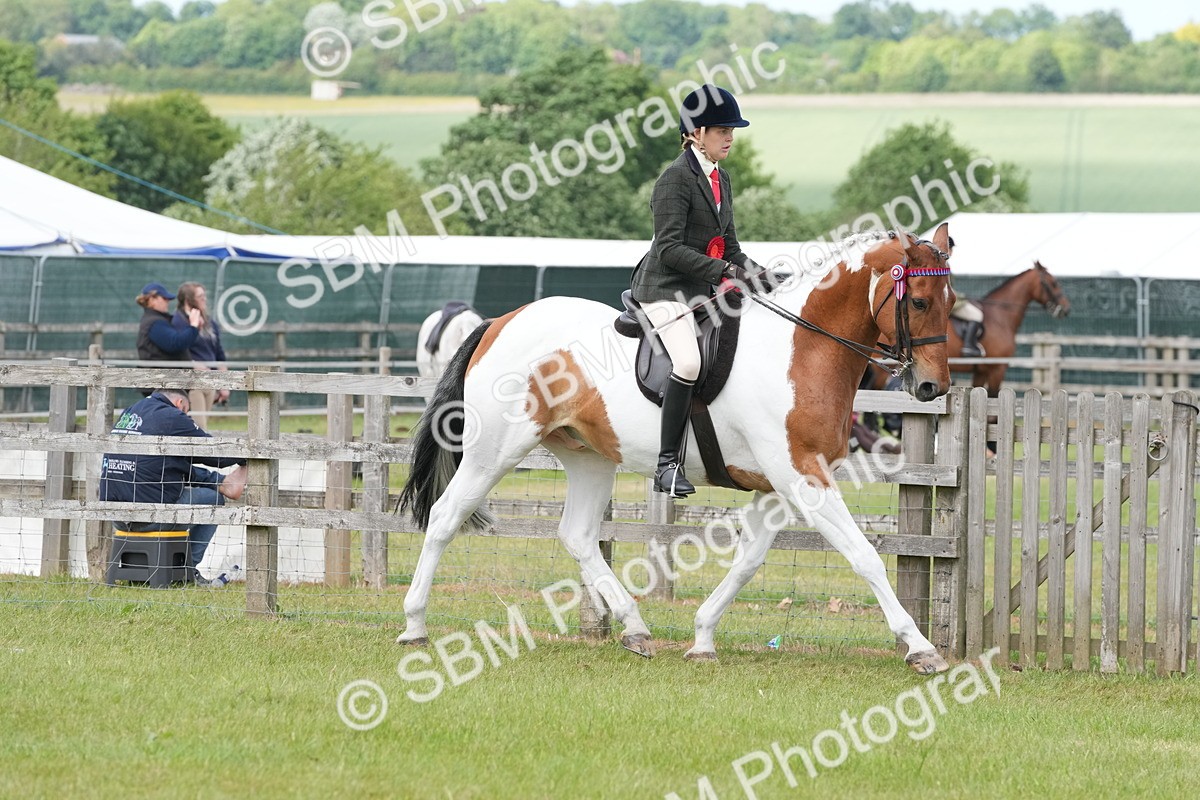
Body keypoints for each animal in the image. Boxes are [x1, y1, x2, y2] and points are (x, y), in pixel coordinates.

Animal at [397, 225, 955, 674]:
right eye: (919, 302)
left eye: (951, 302)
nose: (933, 388)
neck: (800, 348)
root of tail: (501, 321)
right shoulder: (802, 476)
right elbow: (865, 557)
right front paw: (920, 648)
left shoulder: (776, 485)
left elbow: (748, 561)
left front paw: (703, 637)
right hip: (495, 450)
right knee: (445, 517)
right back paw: (414, 626)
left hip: (589, 457)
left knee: (578, 535)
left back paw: (635, 628)